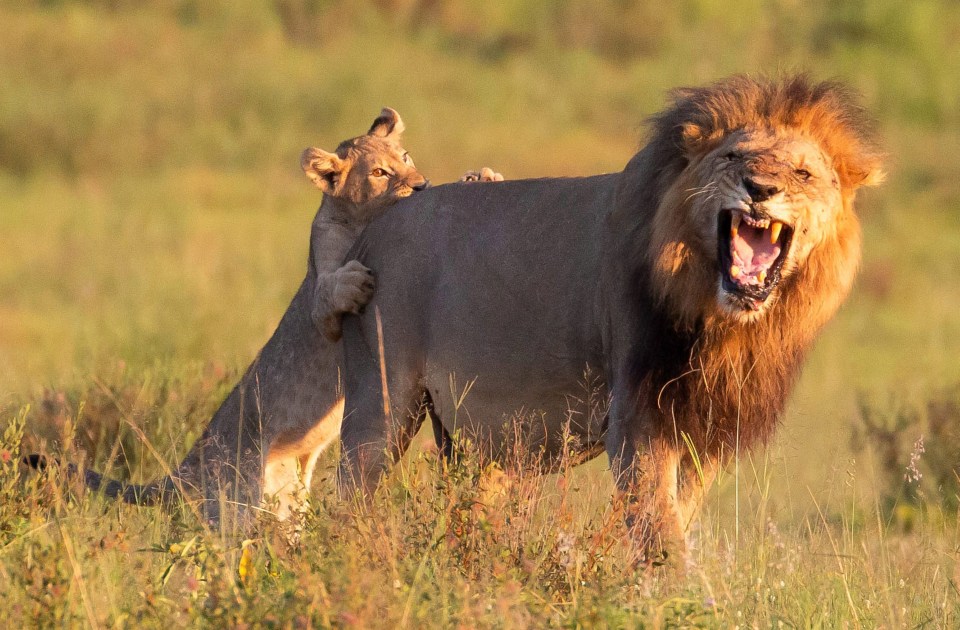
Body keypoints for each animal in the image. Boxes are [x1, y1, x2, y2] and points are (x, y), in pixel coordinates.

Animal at [338, 75, 884, 556]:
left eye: (803, 174)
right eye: (733, 157)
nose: (760, 188)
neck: (721, 321)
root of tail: (377, 225)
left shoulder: (704, 426)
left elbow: (678, 515)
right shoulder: (639, 413)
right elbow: (659, 530)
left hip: (478, 436)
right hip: (381, 401)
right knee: (350, 492)